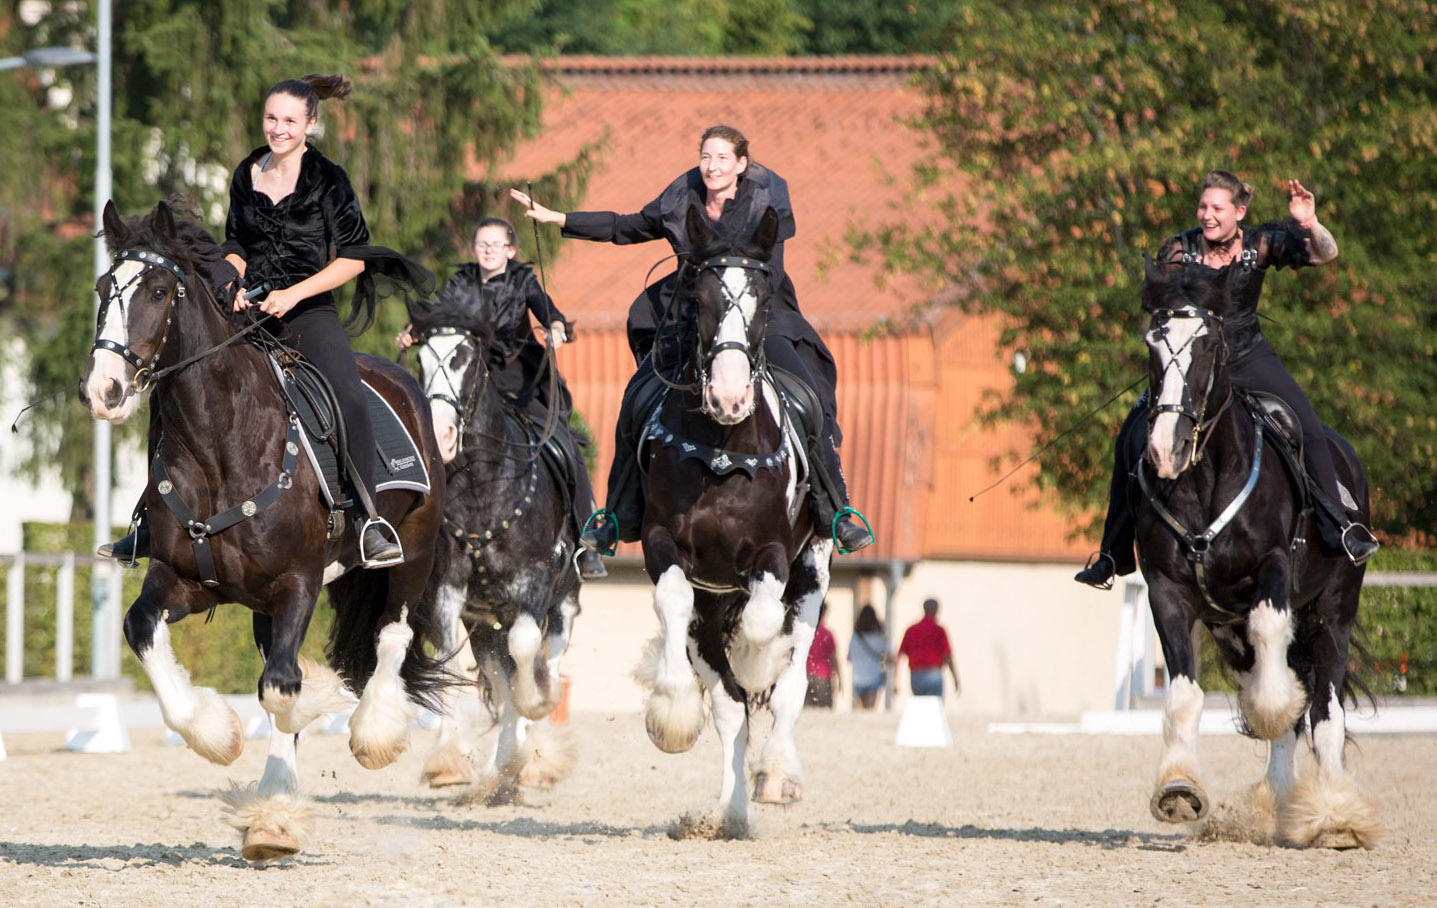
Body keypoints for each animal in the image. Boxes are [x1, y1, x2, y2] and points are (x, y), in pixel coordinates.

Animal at [80, 202, 448, 862]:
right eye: (102, 288)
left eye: (156, 291)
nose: (103, 391)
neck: (220, 444)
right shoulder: (183, 580)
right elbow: (141, 630)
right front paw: (218, 734)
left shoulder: (297, 583)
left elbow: (280, 689)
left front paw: (304, 730)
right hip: (259, 602)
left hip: (413, 550)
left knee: (392, 633)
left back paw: (373, 732)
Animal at [405, 294, 583, 798]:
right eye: (422, 360)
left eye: (465, 359)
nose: (442, 435)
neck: (483, 488)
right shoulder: (449, 594)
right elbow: (451, 663)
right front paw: (447, 761)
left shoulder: (534, 586)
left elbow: (526, 658)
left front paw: (536, 706)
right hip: (485, 624)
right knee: (502, 681)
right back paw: (502, 771)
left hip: (563, 602)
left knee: (544, 662)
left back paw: (531, 755)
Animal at [629, 204, 833, 839]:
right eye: (699, 298)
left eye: (762, 299)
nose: (728, 394)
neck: (722, 449)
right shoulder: (663, 545)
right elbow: (672, 604)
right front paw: (672, 710)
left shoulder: (773, 553)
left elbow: (767, 629)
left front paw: (756, 655)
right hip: (711, 604)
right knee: (730, 706)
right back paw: (733, 810)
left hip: (814, 569)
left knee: (789, 682)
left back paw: (776, 773)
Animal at [1132, 258, 1379, 850]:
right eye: (1153, 344)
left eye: (1207, 346)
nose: (1165, 449)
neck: (1203, 477)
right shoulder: (1167, 592)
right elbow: (1183, 693)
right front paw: (1178, 788)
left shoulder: (1272, 569)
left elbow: (1277, 667)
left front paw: (1269, 707)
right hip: (1229, 629)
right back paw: (1283, 808)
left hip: (1334, 613)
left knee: (1324, 711)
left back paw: (1334, 817)